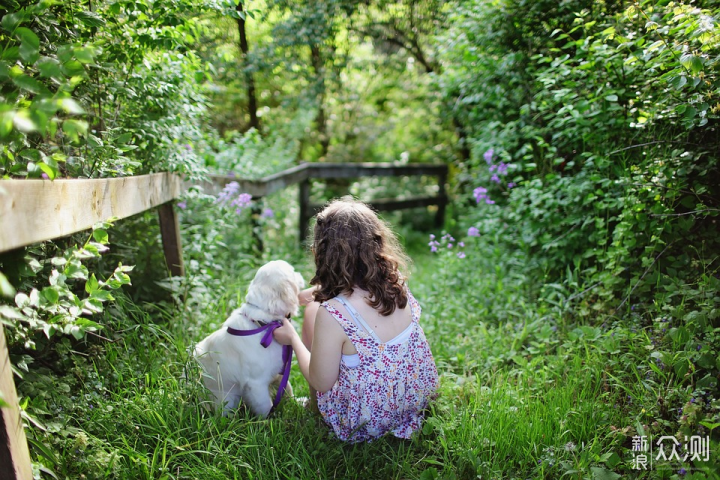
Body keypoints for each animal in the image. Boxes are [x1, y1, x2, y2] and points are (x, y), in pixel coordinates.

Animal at [194, 260, 304, 414]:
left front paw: (297, 403)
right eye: (293, 272)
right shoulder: (256, 384)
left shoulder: (279, 371)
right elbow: (266, 407)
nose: (301, 274)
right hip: (227, 400)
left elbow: (287, 388)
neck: (264, 324)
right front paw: (271, 419)